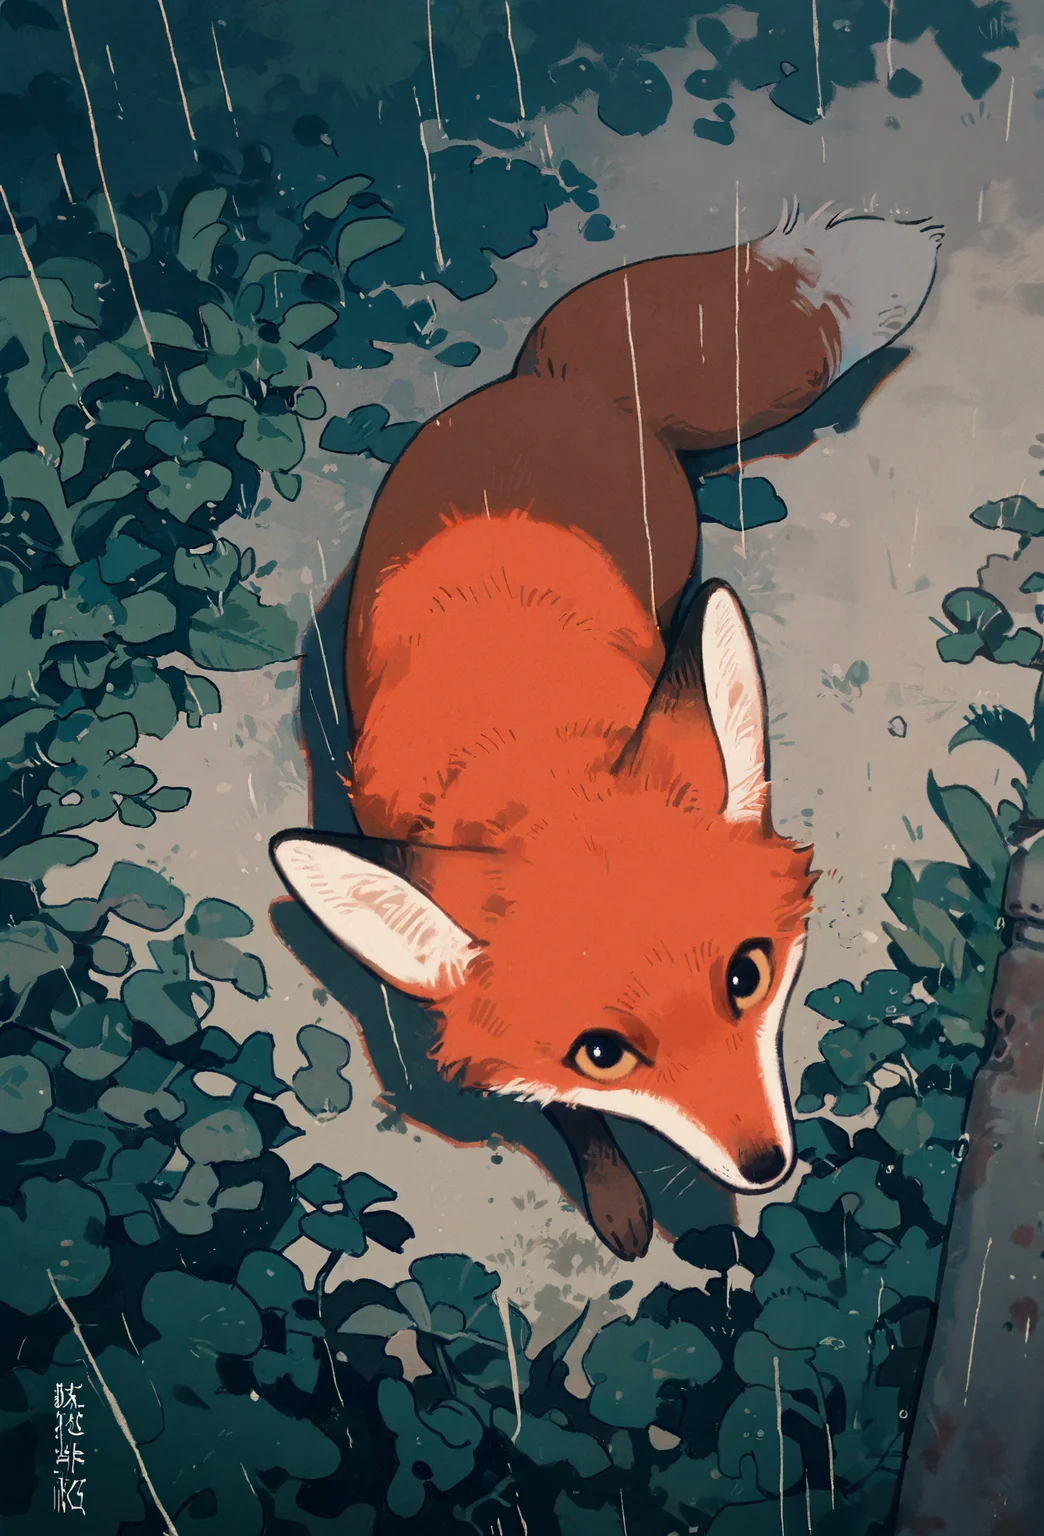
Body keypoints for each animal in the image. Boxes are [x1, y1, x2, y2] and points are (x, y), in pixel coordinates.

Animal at [272, 202, 942, 1259]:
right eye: (603, 1052)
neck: (527, 750)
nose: (767, 1166)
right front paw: (617, 1198)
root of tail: (556, 384)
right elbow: (570, 1118)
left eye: (747, 975)